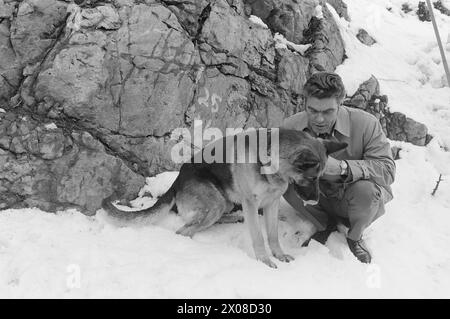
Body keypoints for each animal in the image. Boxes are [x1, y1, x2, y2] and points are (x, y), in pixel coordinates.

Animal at [103, 129, 348, 268]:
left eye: (321, 177)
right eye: (312, 178)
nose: (315, 200)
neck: (272, 161)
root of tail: (178, 180)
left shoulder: (272, 203)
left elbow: (272, 235)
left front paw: (279, 255)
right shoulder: (252, 203)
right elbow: (258, 237)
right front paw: (264, 260)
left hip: (226, 201)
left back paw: (233, 219)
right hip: (216, 203)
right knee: (184, 230)